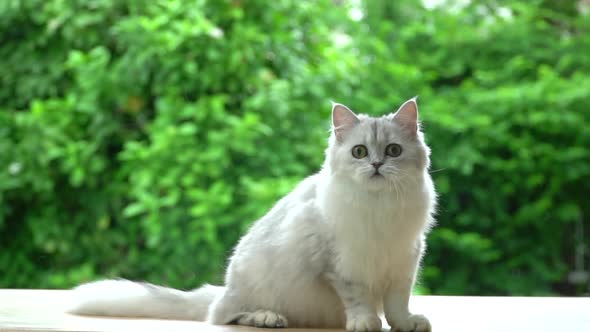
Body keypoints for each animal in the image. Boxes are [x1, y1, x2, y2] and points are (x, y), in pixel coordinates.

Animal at [70, 98, 440, 332]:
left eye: (393, 150)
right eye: (359, 152)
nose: (376, 165)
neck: (380, 208)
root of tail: (223, 289)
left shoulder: (404, 263)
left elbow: (397, 305)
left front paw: (406, 324)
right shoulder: (339, 266)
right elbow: (359, 299)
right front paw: (364, 323)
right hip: (251, 285)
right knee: (223, 316)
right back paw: (266, 318)